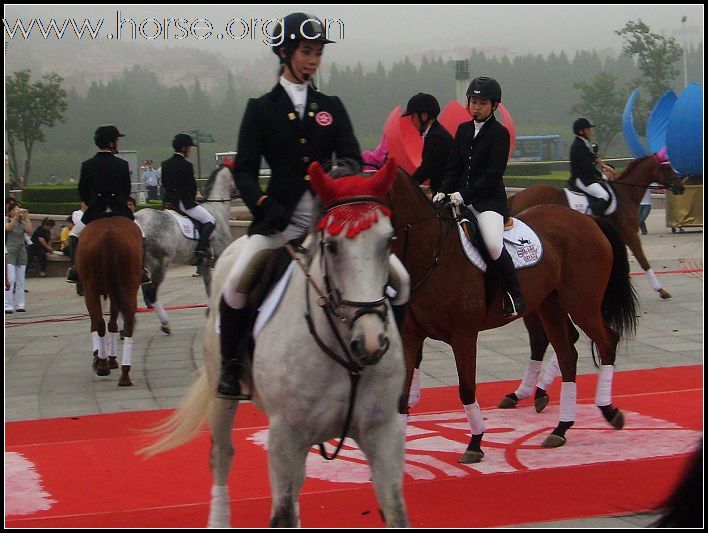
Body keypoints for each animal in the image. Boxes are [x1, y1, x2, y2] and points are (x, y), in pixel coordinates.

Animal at [136, 165, 238, 332]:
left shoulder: (204, 264)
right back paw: (165, 323)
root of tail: (138, 219)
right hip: (159, 263)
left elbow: (209, 286)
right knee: (152, 292)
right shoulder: (220, 258)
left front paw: (210, 312)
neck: (216, 209)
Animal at [390, 167, 640, 458]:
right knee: (566, 354)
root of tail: (587, 219)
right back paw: (560, 427)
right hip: (550, 304)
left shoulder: (463, 335)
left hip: (582, 304)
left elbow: (466, 389)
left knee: (606, 342)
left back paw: (607, 410)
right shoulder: (411, 336)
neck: (432, 251)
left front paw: (475, 442)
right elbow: (401, 393)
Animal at [508, 154, 684, 300]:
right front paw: (661, 290)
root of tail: (516, 196)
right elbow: (643, 260)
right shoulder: (629, 233)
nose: (680, 187)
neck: (625, 193)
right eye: (667, 168)